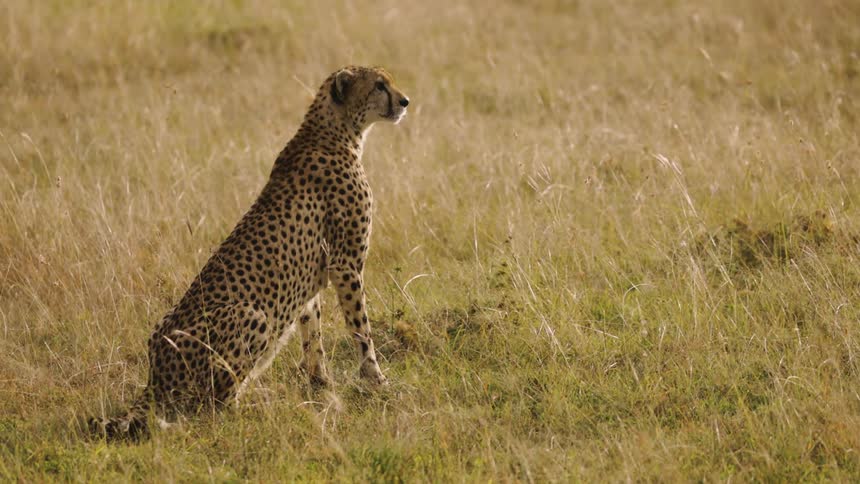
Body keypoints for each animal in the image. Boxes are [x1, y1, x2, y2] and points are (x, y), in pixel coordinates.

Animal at [90, 65, 410, 439]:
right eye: (379, 85)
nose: (405, 101)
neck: (336, 130)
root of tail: (155, 377)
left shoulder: (313, 276)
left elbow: (312, 331)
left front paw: (321, 384)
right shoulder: (346, 265)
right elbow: (361, 329)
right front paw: (377, 380)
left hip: (164, 327)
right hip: (251, 316)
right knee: (213, 405)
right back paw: (259, 403)